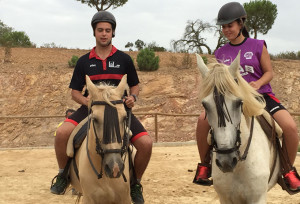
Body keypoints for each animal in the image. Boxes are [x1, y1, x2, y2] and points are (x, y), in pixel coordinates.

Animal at [196, 53, 280, 204]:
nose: (226, 161)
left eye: (239, 102)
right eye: (205, 105)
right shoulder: (225, 198)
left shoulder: (258, 198)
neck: (239, 167)